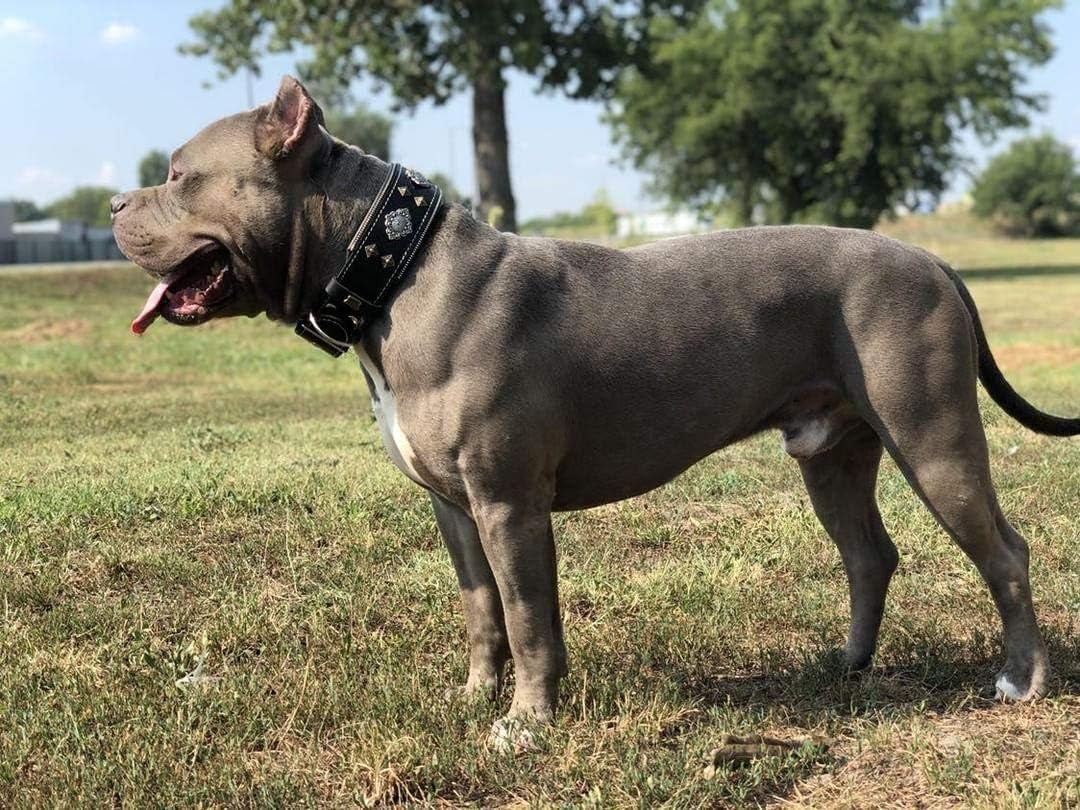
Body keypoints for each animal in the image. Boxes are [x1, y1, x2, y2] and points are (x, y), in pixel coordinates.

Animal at [113, 77, 1075, 747]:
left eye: (179, 175)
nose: (117, 203)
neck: (391, 270)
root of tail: (935, 261)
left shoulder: (509, 504)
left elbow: (528, 618)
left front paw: (526, 726)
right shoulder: (456, 509)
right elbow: (488, 613)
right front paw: (477, 699)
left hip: (933, 440)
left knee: (1006, 553)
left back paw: (1020, 682)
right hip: (832, 455)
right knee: (870, 555)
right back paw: (846, 665)